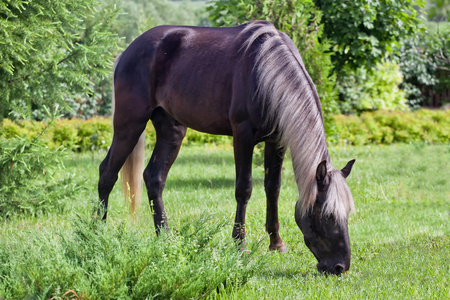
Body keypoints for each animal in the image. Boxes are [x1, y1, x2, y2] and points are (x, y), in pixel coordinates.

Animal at [98, 19, 356, 276]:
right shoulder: (242, 136)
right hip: (130, 124)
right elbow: (244, 189)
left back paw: (165, 238)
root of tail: (128, 51)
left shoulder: (277, 141)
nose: (340, 266)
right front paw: (239, 245)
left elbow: (273, 188)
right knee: (107, 173)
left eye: (347, 213)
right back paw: (97, 231)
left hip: (171, 131)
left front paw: (276, 242)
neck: (265, 70)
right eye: (328, 216)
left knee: (154, 178)